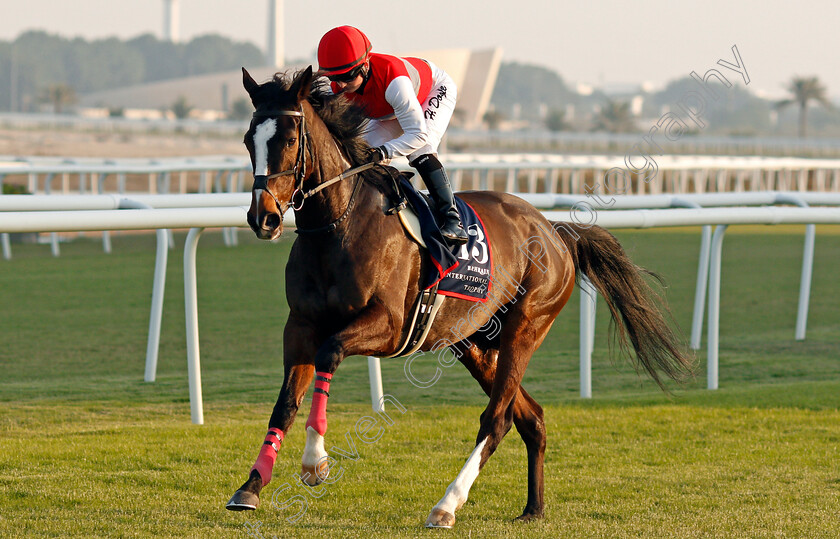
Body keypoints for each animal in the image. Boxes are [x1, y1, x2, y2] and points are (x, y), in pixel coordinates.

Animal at [226, 66, 692, 528]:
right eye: (249, 139)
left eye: (289, 139)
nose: (263, 218)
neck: (339, 225)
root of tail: (555, 231)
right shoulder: (300, 325)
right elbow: (284, 403)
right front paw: (251, 486)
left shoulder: (389, 326)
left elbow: (330, 353)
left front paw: (314, 462)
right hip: (474, 343)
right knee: (531, 418)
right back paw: (533, 508)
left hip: (525, 328)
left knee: (498, 418)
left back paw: (447, 504)